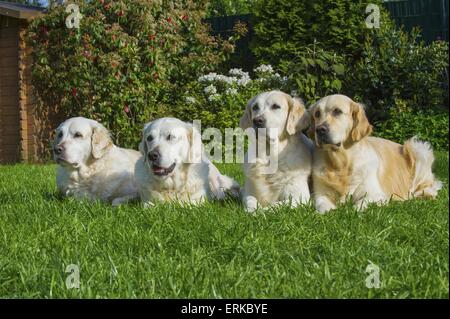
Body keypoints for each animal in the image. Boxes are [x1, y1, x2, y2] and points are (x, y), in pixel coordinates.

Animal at [308, 95, 442, 215]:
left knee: (427, 187)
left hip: (418, 148)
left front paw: (349, 210)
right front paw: (329, 211)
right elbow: (321, 204)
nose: (319, 130)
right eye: (317, 114)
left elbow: (359, 205)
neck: (341, 163)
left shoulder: (376, 194)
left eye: (337, 111)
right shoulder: (319, 193)